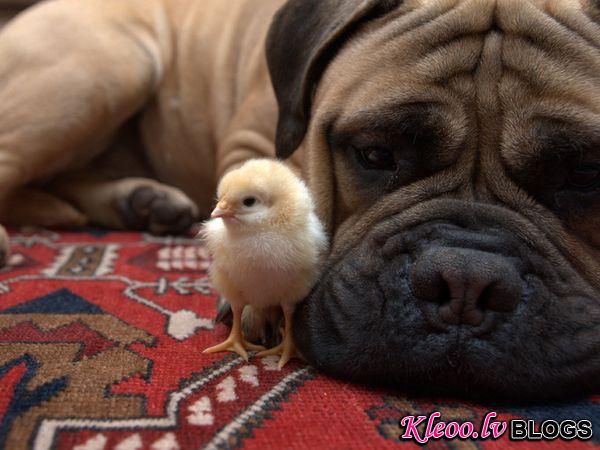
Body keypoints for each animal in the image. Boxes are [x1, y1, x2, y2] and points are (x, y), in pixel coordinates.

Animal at [0, 0, 596, 400]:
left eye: (584, 173)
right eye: (376, 153)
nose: (464, 282)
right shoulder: (250, 143)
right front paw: (260, 299)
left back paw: (140, 201)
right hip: (105, 69)